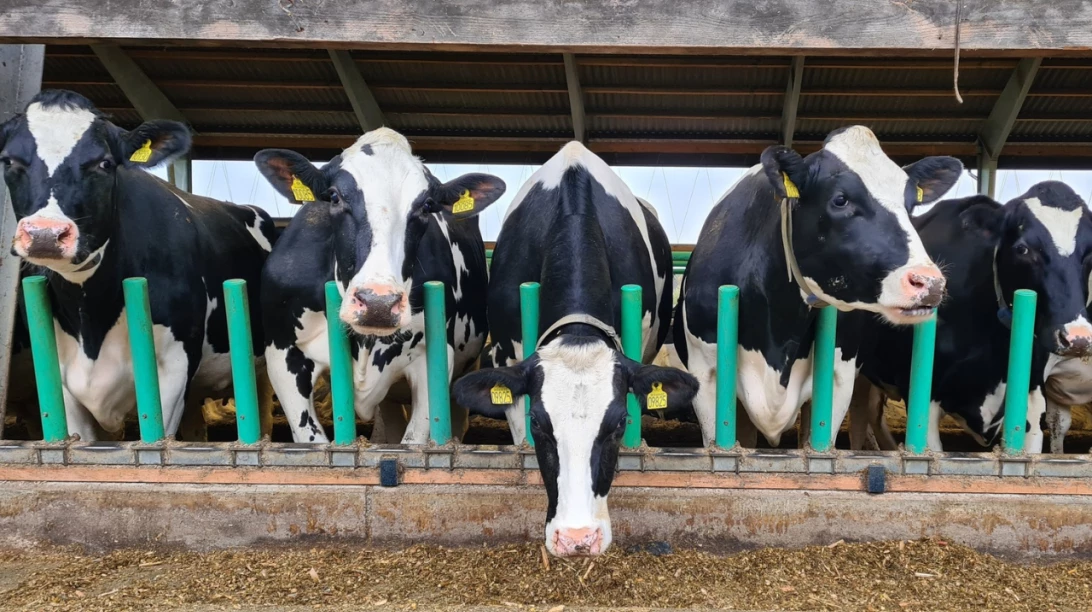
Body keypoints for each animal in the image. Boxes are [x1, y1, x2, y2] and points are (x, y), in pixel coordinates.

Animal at [0, 89, 277, 441]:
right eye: (8, 161)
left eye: (104, 163)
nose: (45, 234)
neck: (92, 318)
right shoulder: (61, 382)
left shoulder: (174, 370)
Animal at [253, 127, 504, 444]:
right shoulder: (283, 353)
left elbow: (414, 441)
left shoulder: (435, 358)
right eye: (334, 196)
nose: (378, 304)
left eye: (426, 206)